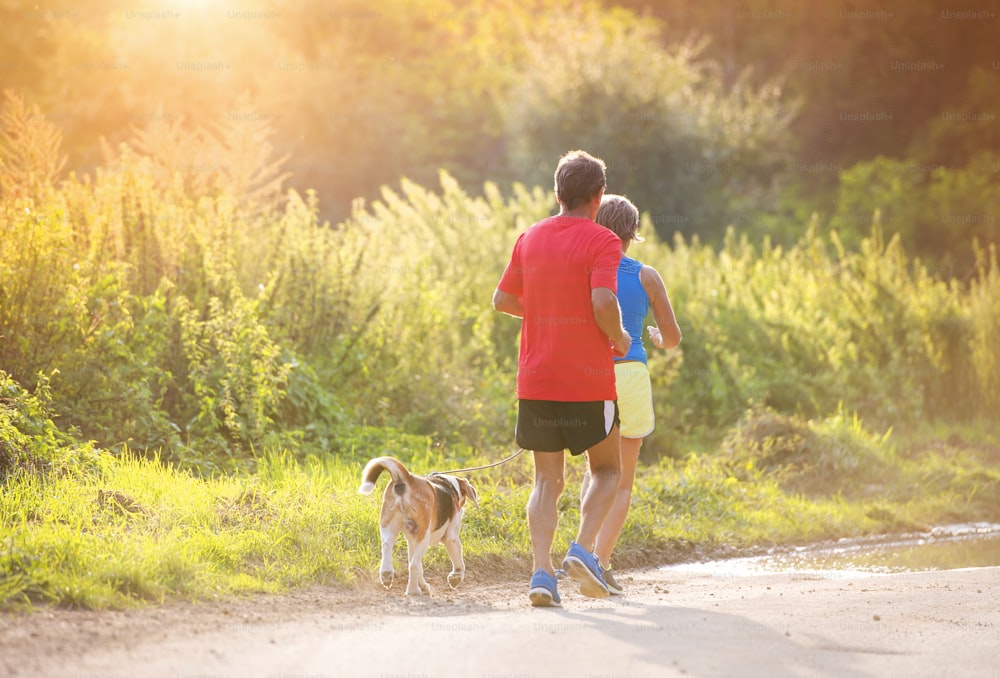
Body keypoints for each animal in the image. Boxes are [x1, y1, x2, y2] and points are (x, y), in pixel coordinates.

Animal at [360, 460, 480, 596]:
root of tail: (406, 478)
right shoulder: (451, 538)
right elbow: (459, 562)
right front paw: (456, 577)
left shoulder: (412, 541)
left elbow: (419, 568)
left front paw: (423, 585)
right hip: (423, 536)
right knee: (414, 565)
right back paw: (413, 590)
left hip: (389, 528)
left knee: (387, 549)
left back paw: (387, 575)